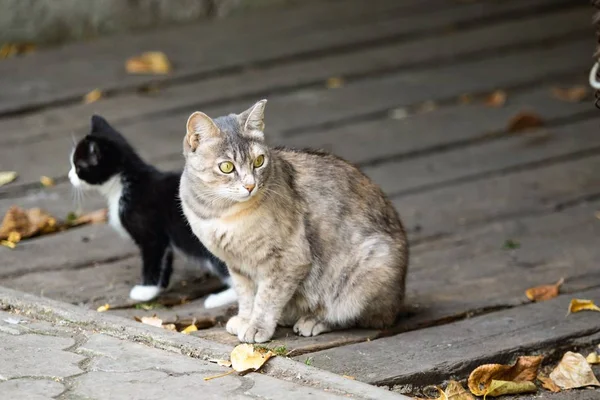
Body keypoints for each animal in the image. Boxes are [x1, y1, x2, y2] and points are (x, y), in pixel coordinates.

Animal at [69, 114, 236, 308]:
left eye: (78, 167)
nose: (69, 177)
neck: (125, 183)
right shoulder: (164, 238)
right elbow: (165, 260)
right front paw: (159, 287)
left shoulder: (150, 233)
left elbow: (152, 259)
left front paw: (144, 291)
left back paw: (218, 299)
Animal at [179, 100, 408, 344]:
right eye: (227, 167)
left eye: (258, 161)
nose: (250, 185)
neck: (221, 213)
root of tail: (398, 301)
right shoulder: (238, 265)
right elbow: (246, 295)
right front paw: (245, 318)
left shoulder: (288, 260)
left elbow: (267, 298)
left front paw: (256, 326)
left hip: (371, 267)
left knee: (357, 316)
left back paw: (314, 320)